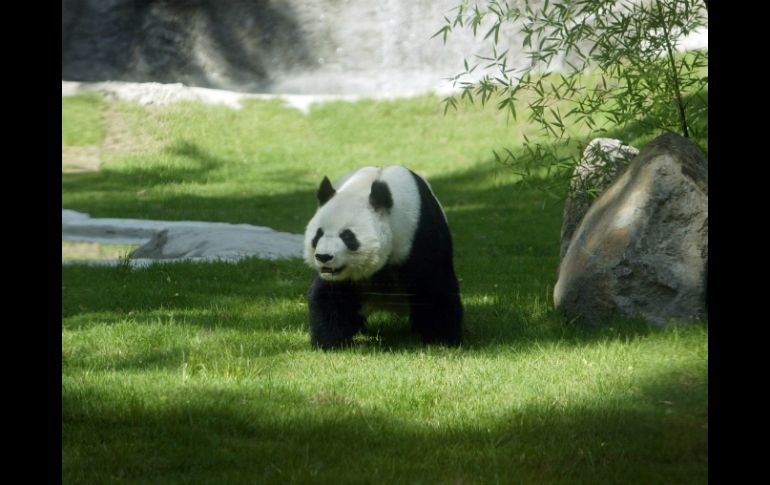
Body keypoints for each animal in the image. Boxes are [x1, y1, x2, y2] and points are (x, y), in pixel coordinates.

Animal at [304, 166, 462, 348]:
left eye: (347, 236)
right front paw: (331, 342)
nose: (324, 257)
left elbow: (433, 286)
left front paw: (441, 339)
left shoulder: (419, 232)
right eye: (318, 235)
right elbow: (332, 294)